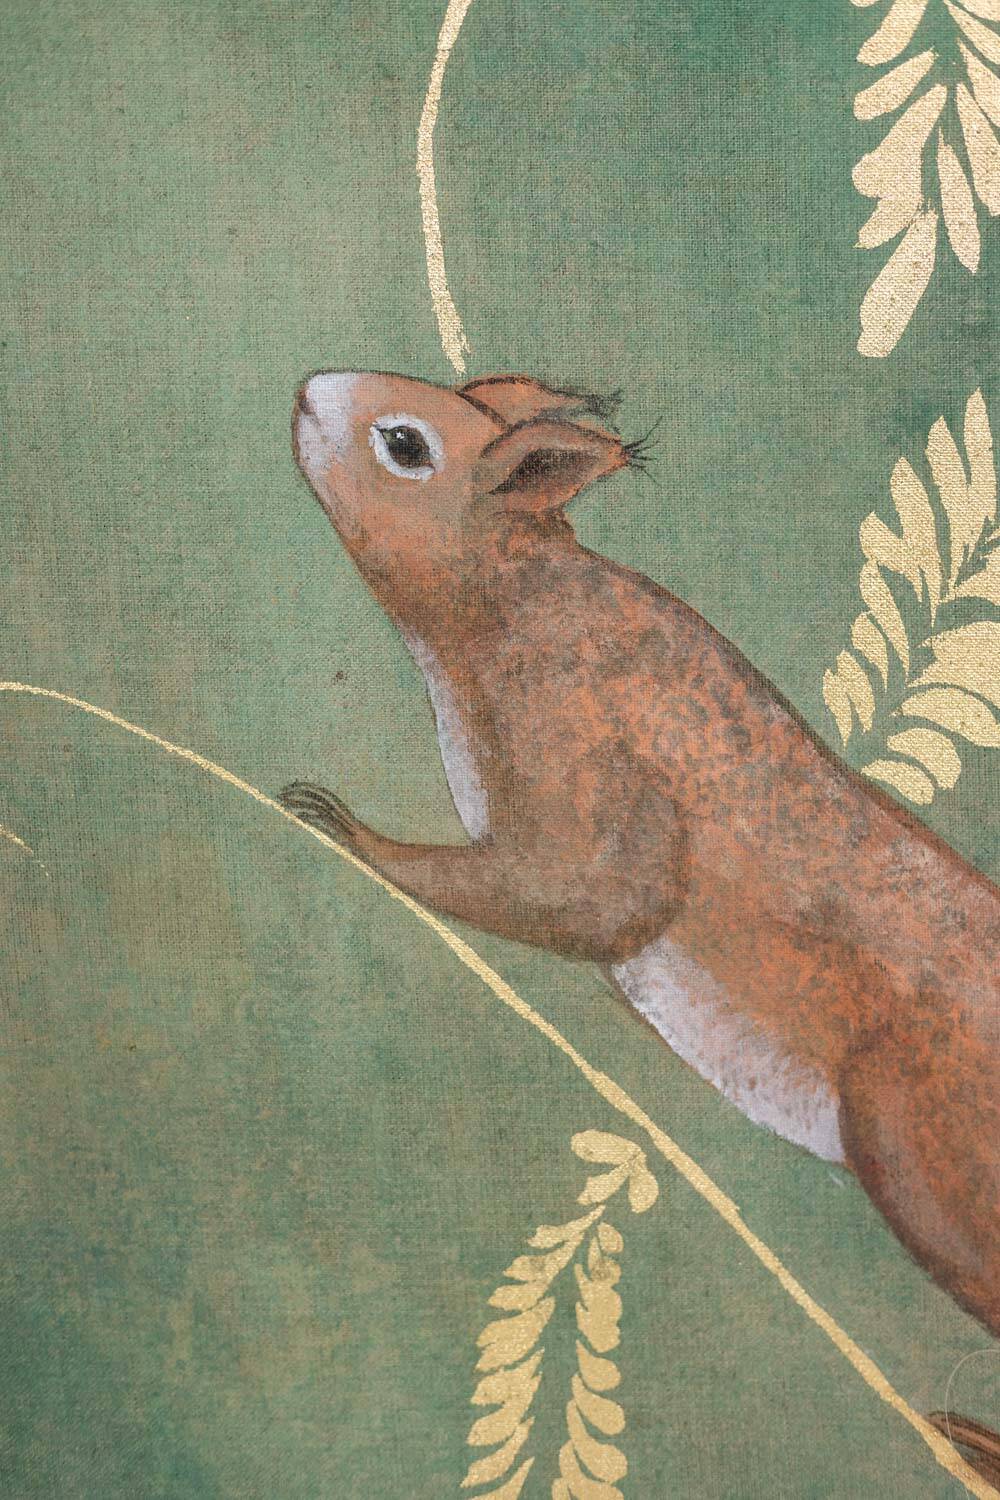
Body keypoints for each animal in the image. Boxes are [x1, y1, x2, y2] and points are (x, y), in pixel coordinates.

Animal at [282, 370, 1000, 1478]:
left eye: (401, 446)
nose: (307, 390)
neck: (517, 596)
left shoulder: (588, 782)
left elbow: (587, 898)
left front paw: (349, 832)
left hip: (930, 1168)